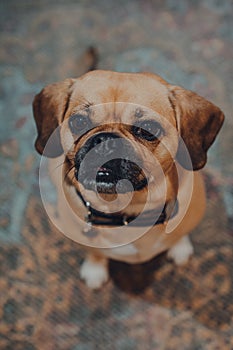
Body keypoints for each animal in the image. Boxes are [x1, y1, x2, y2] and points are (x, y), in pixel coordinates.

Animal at [32, 67, 224, 288]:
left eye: (148, 128)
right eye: (79, 122)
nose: (105, 140)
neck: (125, 211)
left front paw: (179, 246)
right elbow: (95, 253)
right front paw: (95, 269)